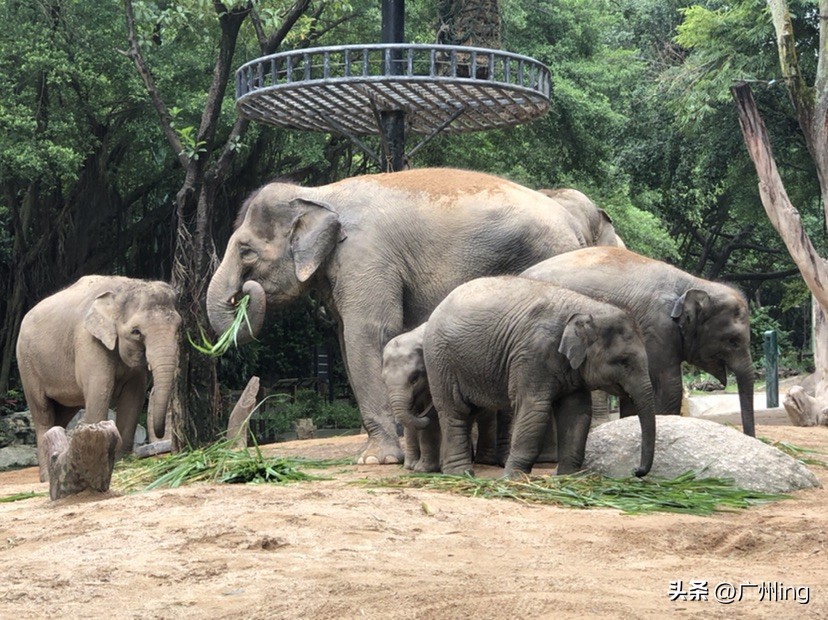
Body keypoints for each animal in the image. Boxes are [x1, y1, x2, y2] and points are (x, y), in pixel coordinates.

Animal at [15, 275, 181, 481]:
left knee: (61, 414)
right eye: (136, 332)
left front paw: (120, 461)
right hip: (27, 364)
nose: (160, 434)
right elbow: (99, 390)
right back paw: (46, 477)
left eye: (179, 327)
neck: (123, 287)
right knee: (43, 413)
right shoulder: (88, 341)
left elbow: (134, 396)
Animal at [381, 323, 503, 472]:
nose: (421, 414)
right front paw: (416, 468)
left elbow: (432, 418)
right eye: (384, 380)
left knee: (486, 416)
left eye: (414, 378)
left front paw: (423, 469)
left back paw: (484, 461)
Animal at [423, 275, 656, 478]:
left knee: (470, 411)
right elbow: (533, 408)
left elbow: (576, 412)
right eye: (623, 361)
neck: (586, 306)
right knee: (454, 410)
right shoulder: (532, 354)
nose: (636, 471)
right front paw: (512, 478)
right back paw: (460, 475)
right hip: (439, 360)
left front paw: (565, 477)